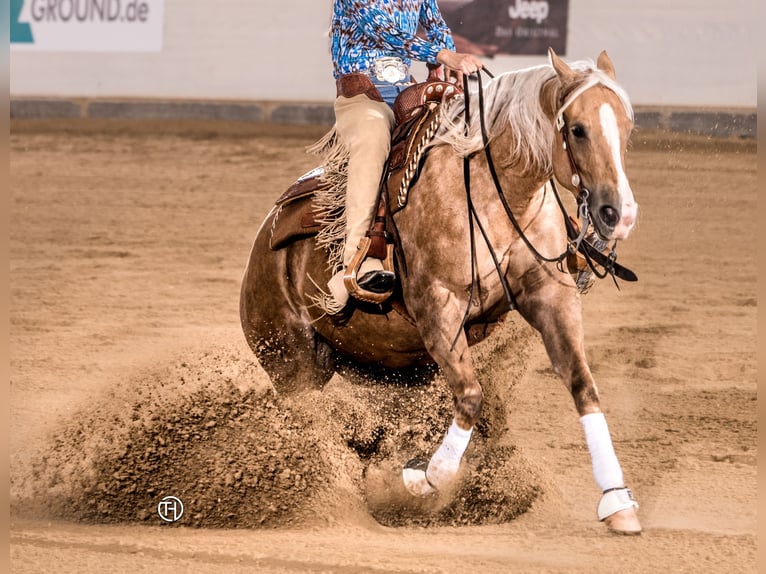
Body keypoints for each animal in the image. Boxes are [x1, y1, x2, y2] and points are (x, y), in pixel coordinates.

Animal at [240, 48, 642, 534]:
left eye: (627, 127)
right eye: (578, 129)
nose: (619, 213)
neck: (494, 191)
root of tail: (263, 244)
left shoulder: (550, 294)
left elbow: (582, 384)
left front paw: (617, 500)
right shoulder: (438, 306)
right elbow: (470, 396)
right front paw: (423, 478)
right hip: (290, 363)